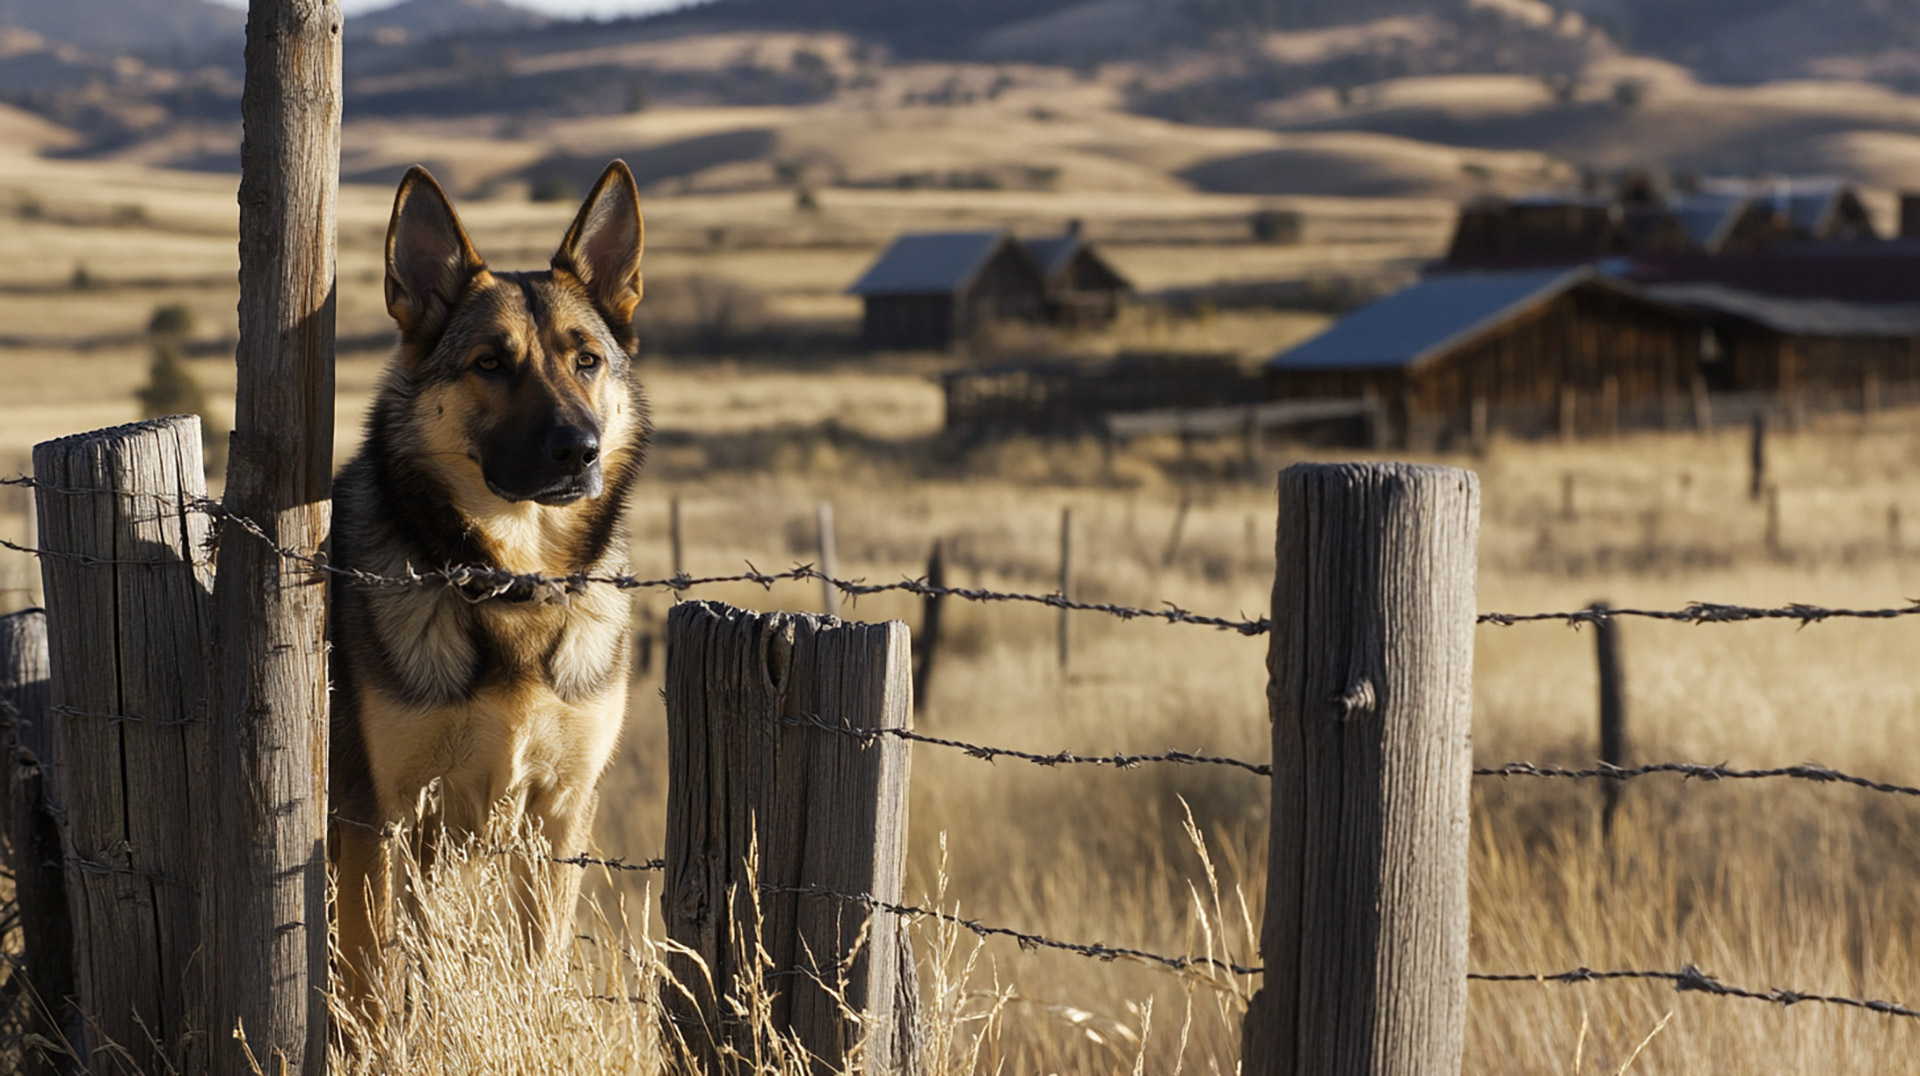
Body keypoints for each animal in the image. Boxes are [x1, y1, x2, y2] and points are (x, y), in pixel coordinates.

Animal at [330, 157, 652, 1006]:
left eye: (586, 359)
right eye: (490, 364)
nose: (580, 449)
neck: (513, 586)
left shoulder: (560, 817)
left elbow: (539, 969)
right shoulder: (379, 821)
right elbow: (372, 990)